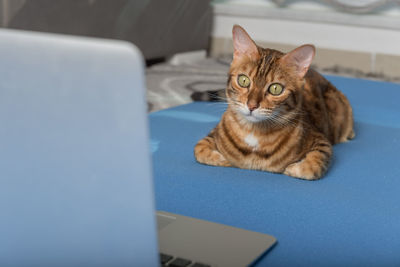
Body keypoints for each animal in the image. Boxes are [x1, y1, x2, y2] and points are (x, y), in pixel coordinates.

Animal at [194, 25, 354, 181]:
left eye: (275, 88)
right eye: (243, 80)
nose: (251, 105)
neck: (253, 132)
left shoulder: (321, 140)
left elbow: (314, 164)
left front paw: (295, 168)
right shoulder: (214, 133)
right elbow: (199, 148)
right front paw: (222, 158)